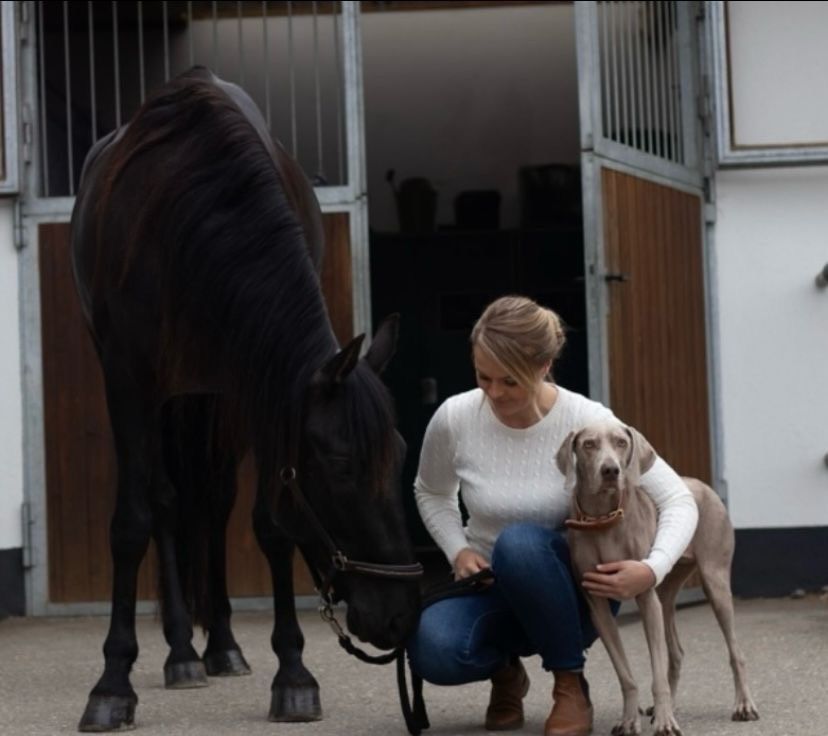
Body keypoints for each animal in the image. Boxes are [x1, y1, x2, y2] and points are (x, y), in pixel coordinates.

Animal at [69, 67, 420, 732]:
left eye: (401, 454)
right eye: (341, 466)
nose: (399, 617)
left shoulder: (257, 384)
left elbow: (269, 523)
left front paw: (294, 675)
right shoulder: (126, 378)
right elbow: (131, 523)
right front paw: (110, 684)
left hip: (211, 402)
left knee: (212, 501)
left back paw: (223, 648)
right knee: (167, 501)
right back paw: (182, 651)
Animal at [552, 422, 760, 732]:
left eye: (621, 442)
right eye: (589, 444)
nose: (610, 470)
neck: (603, 519)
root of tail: (706, 486)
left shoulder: (644, 595)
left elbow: (656, 674)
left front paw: (665, 722)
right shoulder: (598, 606)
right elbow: (625, 675)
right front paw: (629, 719)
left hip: (715, 580)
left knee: (736, 653)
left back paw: (743, 705)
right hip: (667, 592)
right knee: (676, 653)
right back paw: (669, 705)